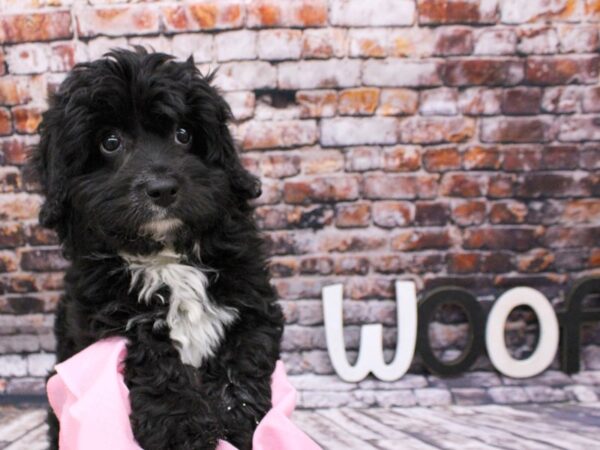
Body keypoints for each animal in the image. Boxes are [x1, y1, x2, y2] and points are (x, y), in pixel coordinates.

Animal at [34, 47, 284, 448]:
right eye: (110, 142)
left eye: (183, 134)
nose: (163, 188)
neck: (165, 256)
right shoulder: (109, 323)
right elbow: (154, 360)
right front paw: (184, 428)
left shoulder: (252, 299)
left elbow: (246, 355)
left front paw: (240, 421)